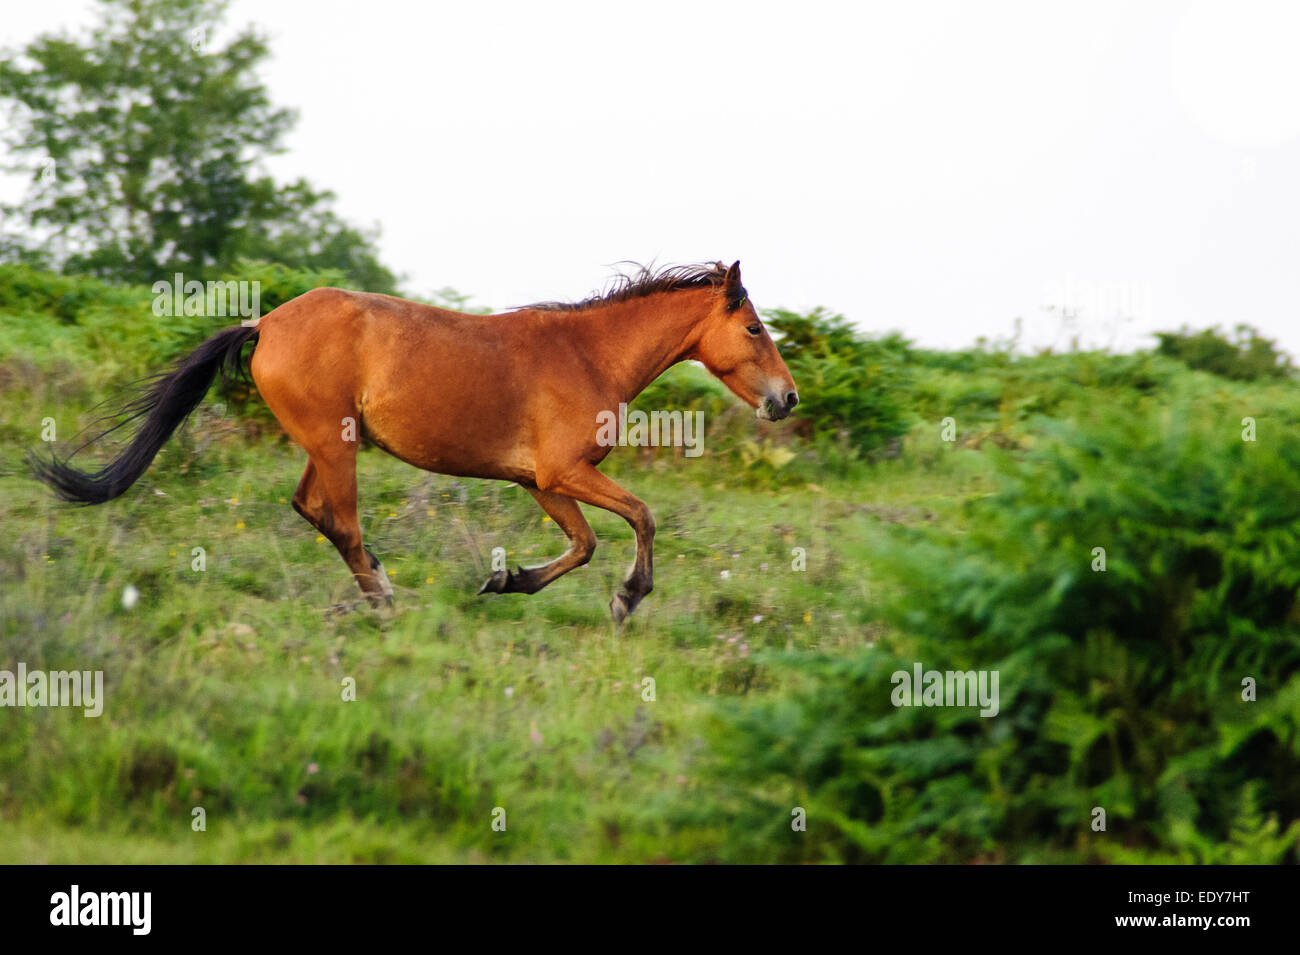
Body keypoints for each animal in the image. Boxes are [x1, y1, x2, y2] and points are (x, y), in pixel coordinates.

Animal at [30, 259, 795, 621]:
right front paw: (628, 598)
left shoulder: (541, 483)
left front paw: (506, 579)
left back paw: (382, 585)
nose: (787, 398)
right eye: (754, 327)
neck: (587, 355)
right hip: (335, 446)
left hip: (326, 445)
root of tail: (265, 322)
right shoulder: (562, 474)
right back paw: (385, 601)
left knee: (312, 509)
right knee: (340, 519)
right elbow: (640, 517)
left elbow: (582, 544)